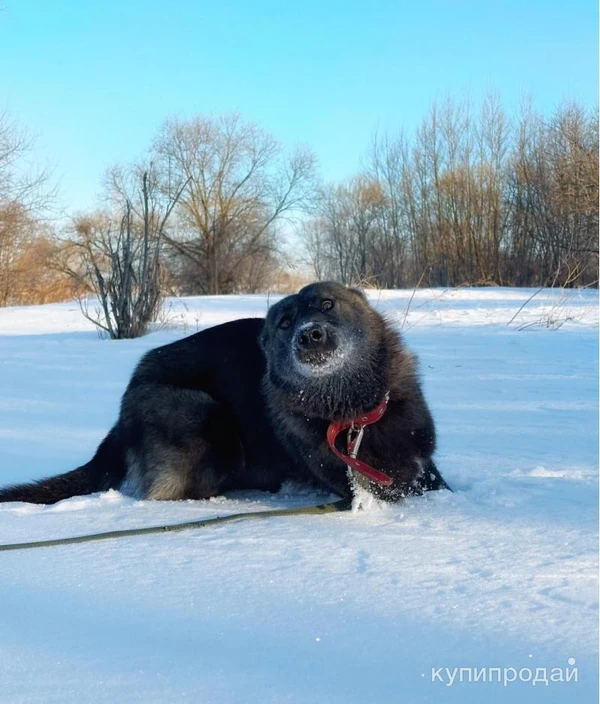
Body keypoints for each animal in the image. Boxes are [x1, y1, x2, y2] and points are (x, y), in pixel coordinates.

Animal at [0, 282, 450, 506]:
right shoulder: (370, 485)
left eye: (326, 304)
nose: (310, 335)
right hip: (202, 413)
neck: (352, 412)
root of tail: (121, 416)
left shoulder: (422, 465)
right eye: (285, 323)